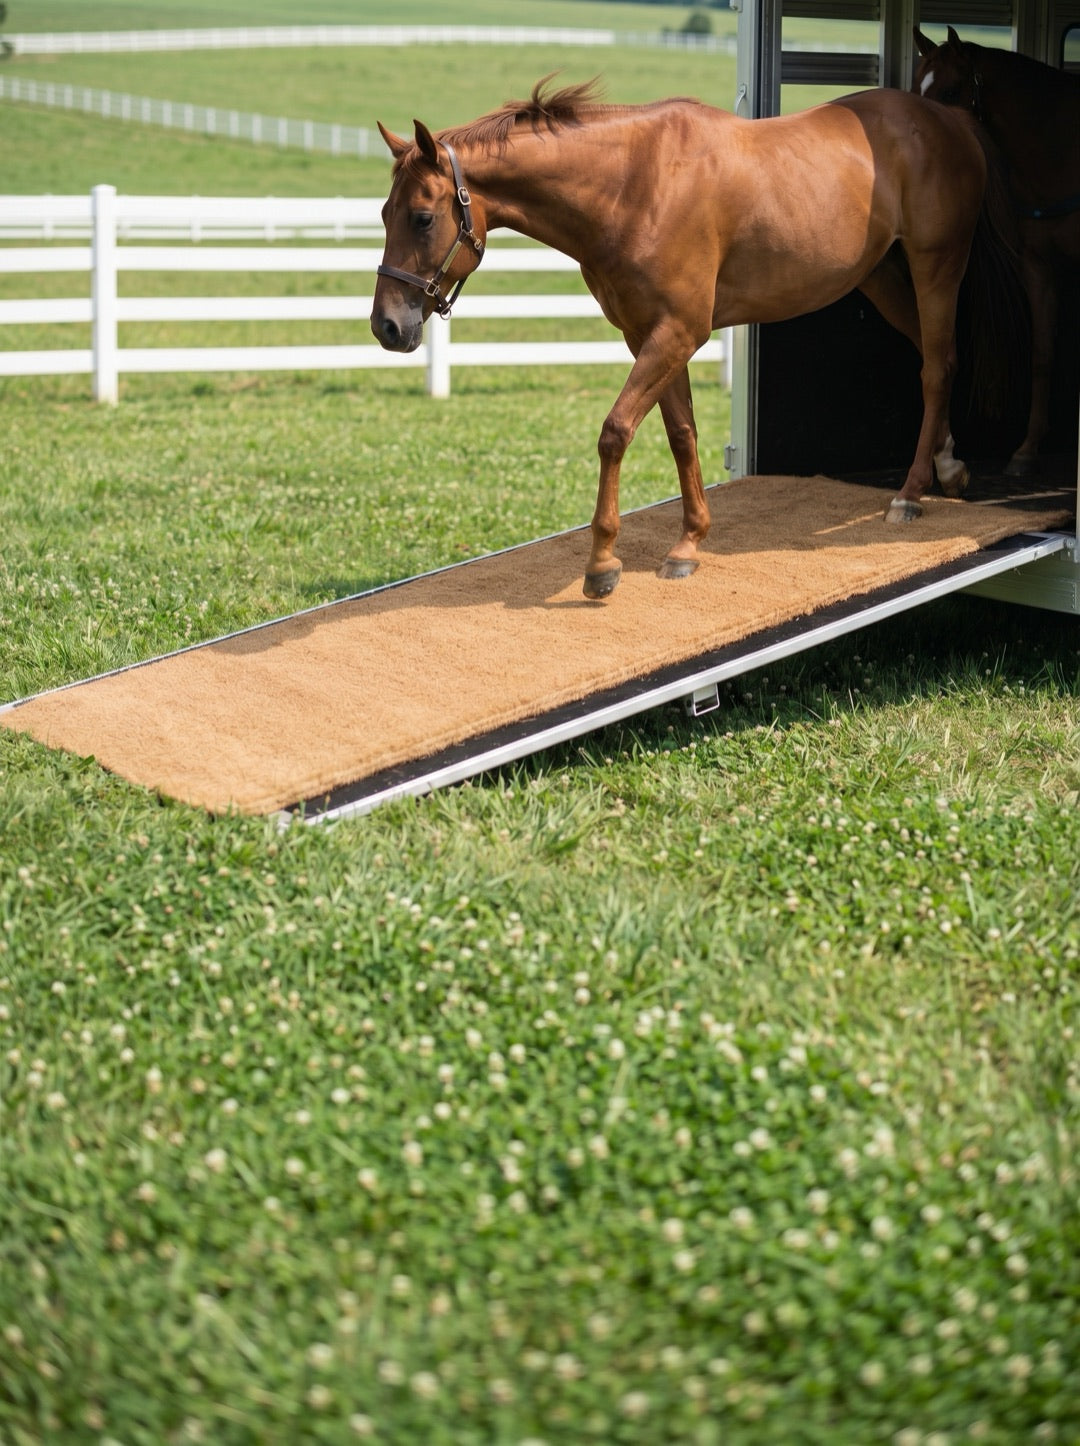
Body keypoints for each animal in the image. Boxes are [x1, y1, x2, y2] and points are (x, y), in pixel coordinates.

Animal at [372, 80, 1017, 600]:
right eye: (382, 214)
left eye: (422, 218)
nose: (387, 326)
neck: (633, 186)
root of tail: (949, 119)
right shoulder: (650, 338)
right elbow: (681, 433)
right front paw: (688, 543)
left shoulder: (679, 332)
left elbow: (616, 432)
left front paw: (602, 563)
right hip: (882, 277)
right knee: (937, 356)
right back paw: (949, 466)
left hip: (937, 267)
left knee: (937, 367)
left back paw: (910, 493)